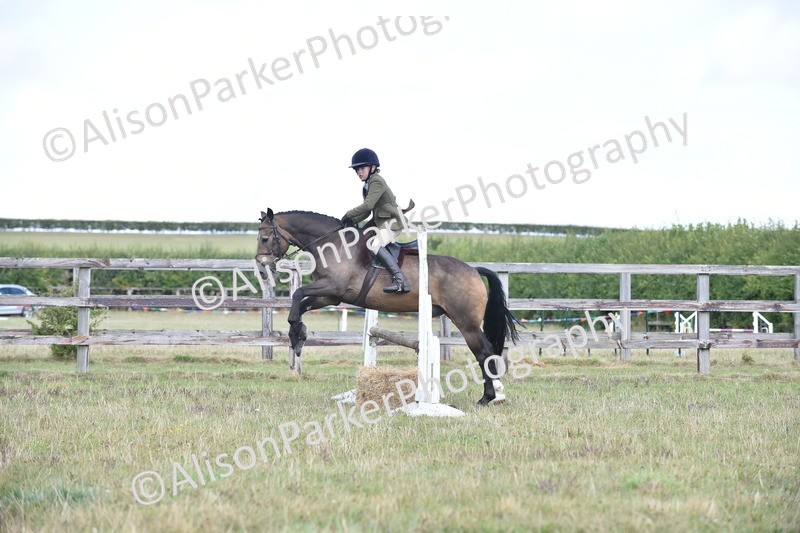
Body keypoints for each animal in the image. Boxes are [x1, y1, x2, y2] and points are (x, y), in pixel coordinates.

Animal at [255, 208, 520, 406]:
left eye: (265, 238)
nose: (262, 271)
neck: (334, 245)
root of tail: (473, 270)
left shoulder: (332, 287)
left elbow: (298, 294)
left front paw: (296, 333)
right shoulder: (331, 296)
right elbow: (301, 304)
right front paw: (298, 335)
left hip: (466, 322)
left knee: (484, 352)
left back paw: (489, 397)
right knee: (485, 352)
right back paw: (494, 395)